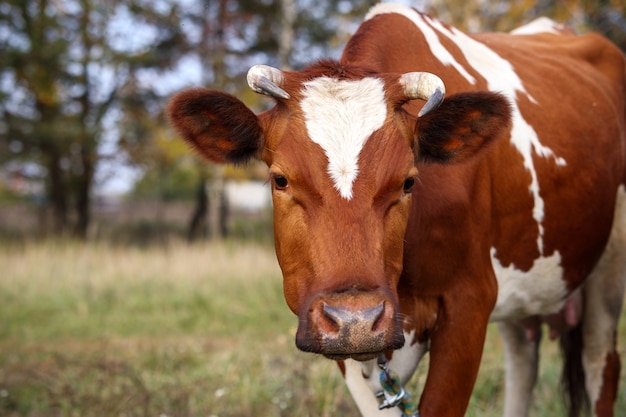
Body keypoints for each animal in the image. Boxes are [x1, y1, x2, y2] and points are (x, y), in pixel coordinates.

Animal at [167, 3, 624, 416]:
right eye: (280, 179)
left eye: (408, 181)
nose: (355, 319)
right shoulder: (344, 340)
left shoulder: (469, 302)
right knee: (522, 364)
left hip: (606, 275)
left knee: (601, 364)